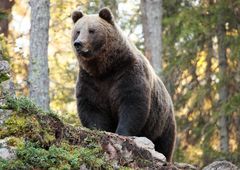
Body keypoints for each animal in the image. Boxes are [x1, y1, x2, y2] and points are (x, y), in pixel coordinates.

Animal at [71, 7, 176, 161]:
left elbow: (132, 103)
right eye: (78, 31)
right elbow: (91, 106)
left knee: (165, 144)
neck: (105, 68)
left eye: (91, 30)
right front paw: (98, 129)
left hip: (162, 123)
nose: (78, 43)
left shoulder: (127, 73)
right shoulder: (90, 80)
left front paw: (122, 132)